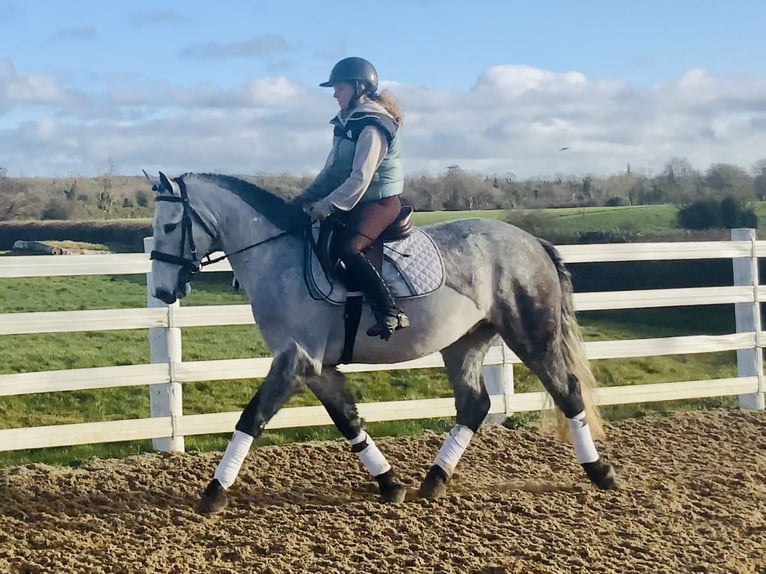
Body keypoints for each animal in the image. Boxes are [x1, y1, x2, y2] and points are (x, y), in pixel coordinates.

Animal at [148, 171, 618, 513]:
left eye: (170, 225)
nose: (164, 291)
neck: (278, 257)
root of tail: (532, 241)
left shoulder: (295, 360)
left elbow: (252, 418)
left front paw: (213, 492)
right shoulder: (317, 367)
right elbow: (348, 421)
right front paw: (390, 484)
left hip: (531, 334)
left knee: (567, 392)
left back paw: (601, 473)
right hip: (464, 342)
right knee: (474, 405)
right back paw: (434, 480)